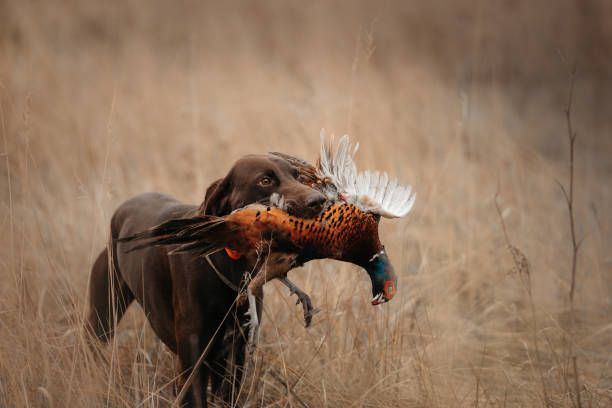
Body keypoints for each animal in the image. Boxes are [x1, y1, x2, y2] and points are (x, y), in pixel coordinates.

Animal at [85, 154, 330, 408]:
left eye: (297, 175)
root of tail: (123, 208)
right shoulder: (193, 360)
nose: (319, 201)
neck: (232, 268)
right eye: (265, 180)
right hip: (102, 318)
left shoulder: (234, 357)